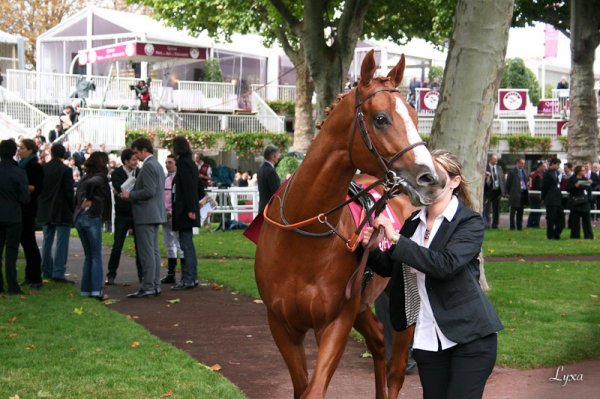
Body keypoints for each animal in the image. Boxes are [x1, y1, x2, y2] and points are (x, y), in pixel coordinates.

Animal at [254, 51, 446, 398]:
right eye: (381, 118)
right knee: (379, 342)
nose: (431, 178)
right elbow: (301, 388)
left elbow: (314, 390)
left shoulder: (335, 322)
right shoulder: (281, 325)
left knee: (396, 369)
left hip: (402, 305)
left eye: (415, 114)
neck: (303, 239)